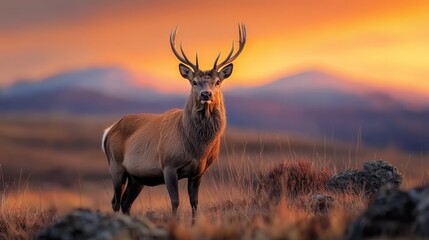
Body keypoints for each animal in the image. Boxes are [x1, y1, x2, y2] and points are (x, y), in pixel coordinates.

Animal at [101, 24, 246, 221]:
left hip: (137, 177)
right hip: (115, 166)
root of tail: (109, 130)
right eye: (194, 82)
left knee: (125, 203)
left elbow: (194, 203)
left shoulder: (199, 171)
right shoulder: (168, 164)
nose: (206, 94)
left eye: (217, 82)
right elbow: (175, 202)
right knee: (115, 202)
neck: (197, 148)